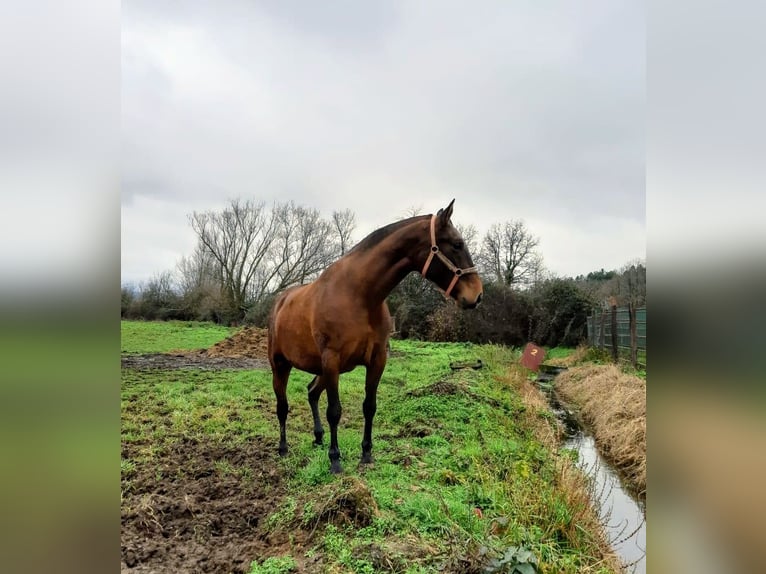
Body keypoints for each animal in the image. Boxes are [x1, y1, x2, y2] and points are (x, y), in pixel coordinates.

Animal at [267, 199, 483, 474]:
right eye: (456, 244)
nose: (477, 295)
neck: (359, 295)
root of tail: (280, 302)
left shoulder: (377, 359)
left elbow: (369, 406)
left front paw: (366, 454)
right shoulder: (332, 359)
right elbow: (334, 411)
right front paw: (335, 460)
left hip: (321, 369)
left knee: (312, 392)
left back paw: (318, 437)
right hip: (281, 365)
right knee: (282, 406)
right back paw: (284, 448)